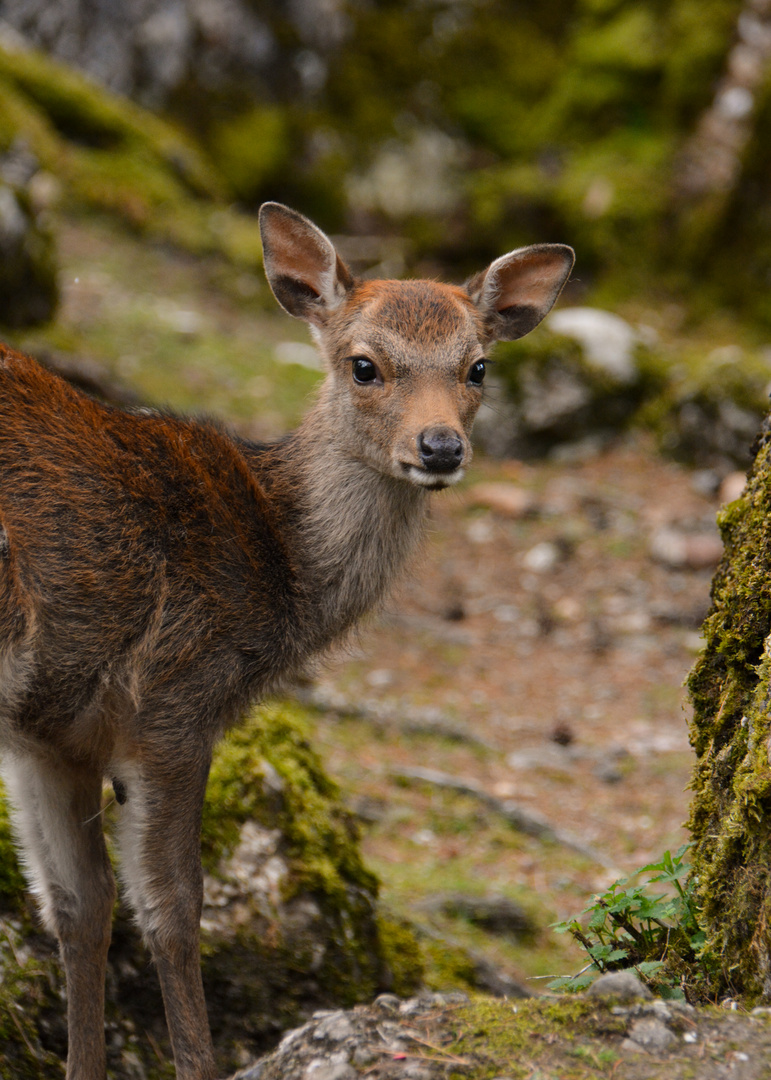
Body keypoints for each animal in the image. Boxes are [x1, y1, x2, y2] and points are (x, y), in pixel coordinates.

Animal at [0, 200, 570, 1071]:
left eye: (477, 367)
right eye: (364, 365)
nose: (440, 447)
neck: (280, 568)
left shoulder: (51, 736)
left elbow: (78, 904)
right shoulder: (174, 695)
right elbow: (172, 906)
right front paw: (199, 1064)